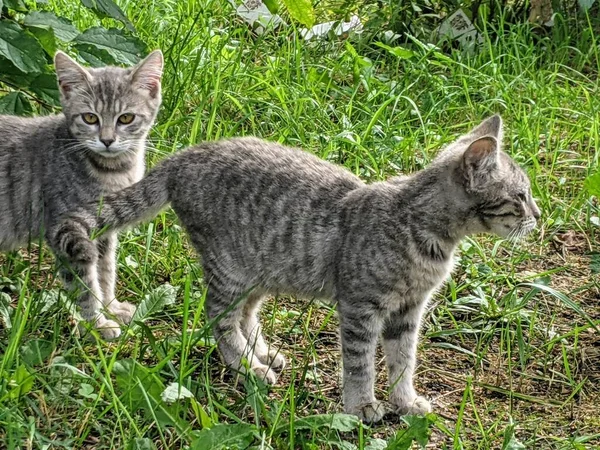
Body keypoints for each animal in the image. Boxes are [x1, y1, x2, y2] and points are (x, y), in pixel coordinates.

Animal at [0, 49, 164, 338]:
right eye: (90, 118)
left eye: (126, 118)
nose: (107, 140)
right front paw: (97, 325)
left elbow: (106, 272)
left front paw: (112, 307)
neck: (112, 172)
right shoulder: (66, 233)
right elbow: (86, 285)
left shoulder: (105, 230)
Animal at [58, 115, 540, 422]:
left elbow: (404, 361)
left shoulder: (408, 312)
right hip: (229, 269)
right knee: (218, 318)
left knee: (245, 315)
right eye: (520, 196)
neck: (421, 230)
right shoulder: (361, 308)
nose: (539, 214)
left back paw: (262, 353)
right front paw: (362, 407)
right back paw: (247, 366)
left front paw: (405, 401)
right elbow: (360, 364)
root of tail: (184, 156)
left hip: (261, 271)